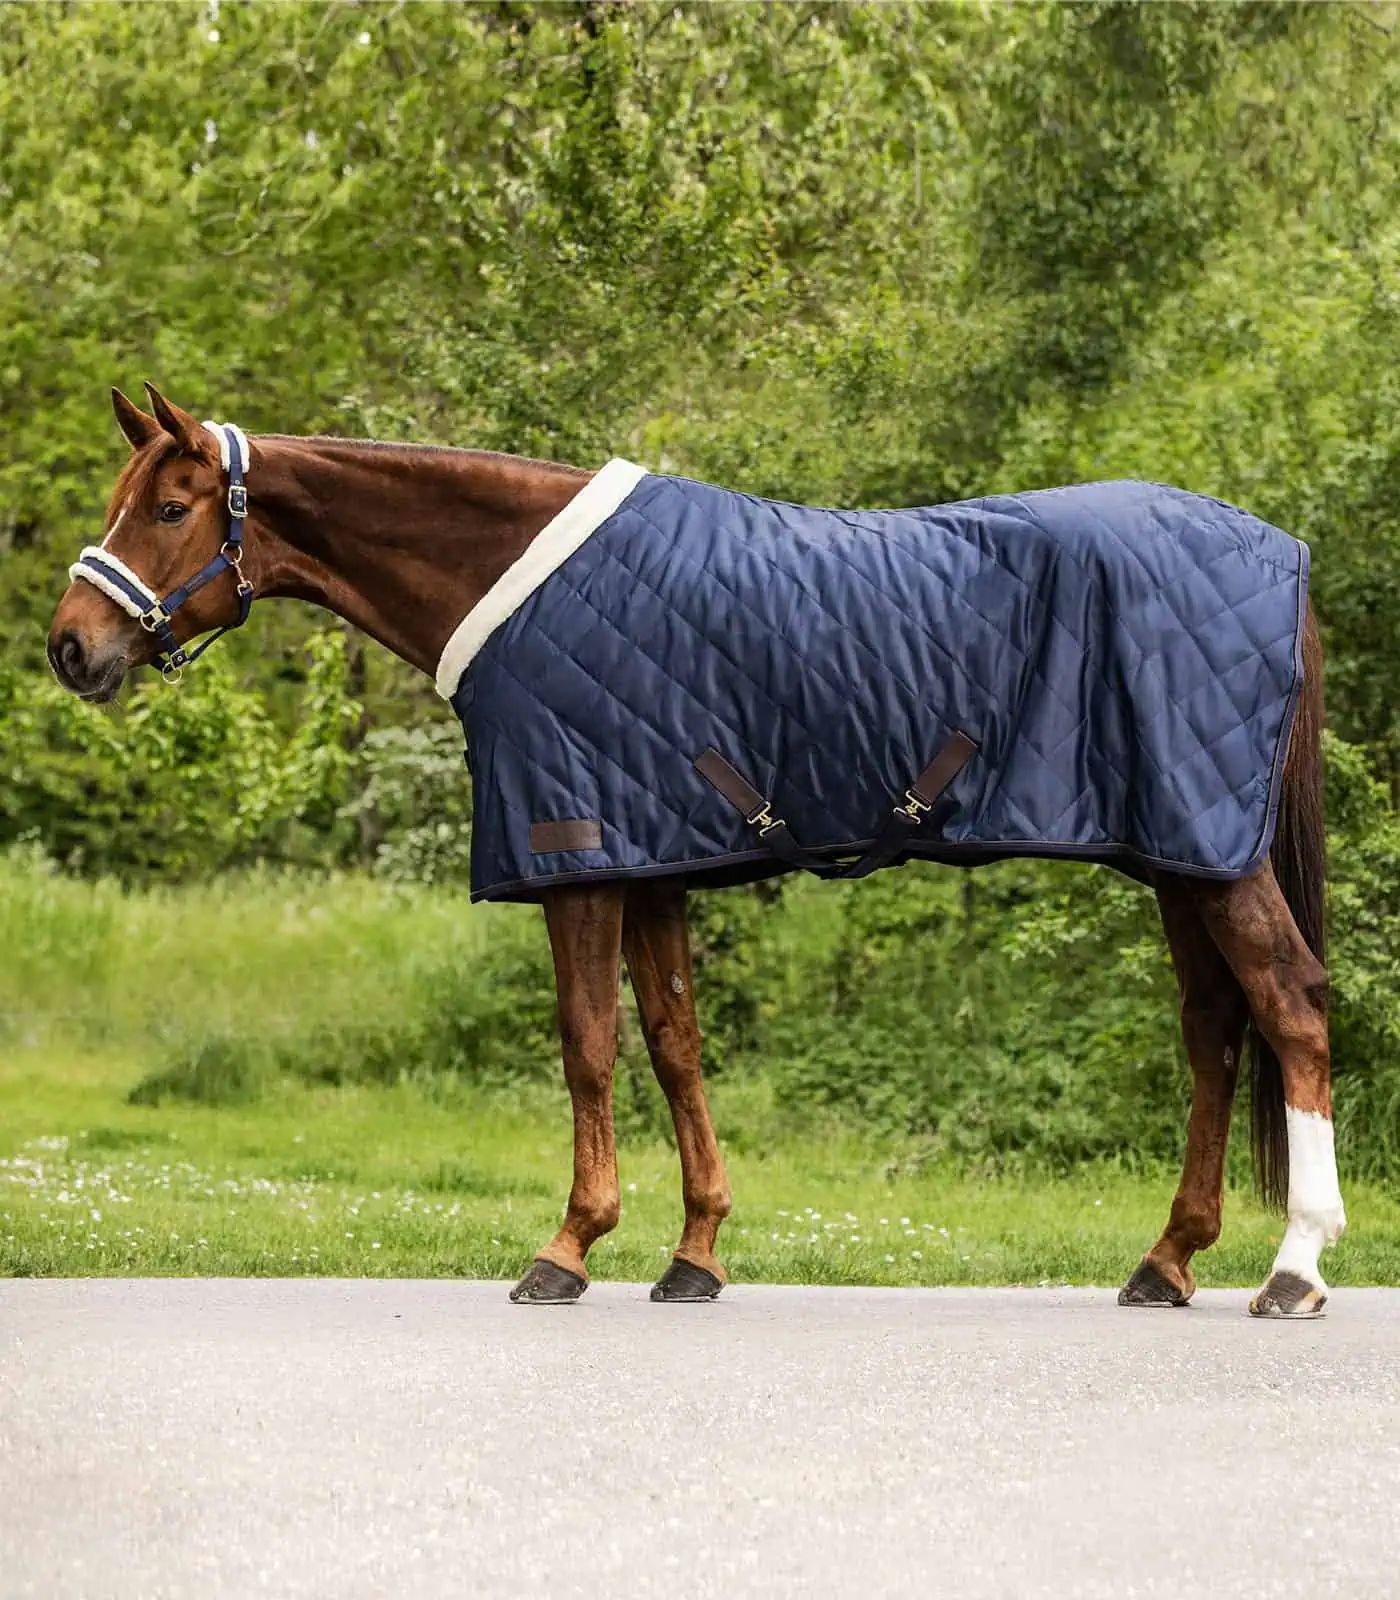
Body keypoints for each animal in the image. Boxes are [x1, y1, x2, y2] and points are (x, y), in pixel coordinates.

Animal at [46, 384, 1345, 1316]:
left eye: (168, 509)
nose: (71, 646)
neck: (516, 582)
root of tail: (1283, 556)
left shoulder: (579, 858)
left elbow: (587, 1044)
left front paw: (568, 1246)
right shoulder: (655, 861)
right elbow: (673, 1045)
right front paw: (695, 1252)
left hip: (1212, 855)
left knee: (1287, 1006)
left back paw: (1292, 1269)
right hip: (1178, 855)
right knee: (1213, 1030)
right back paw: (1167, 1260)